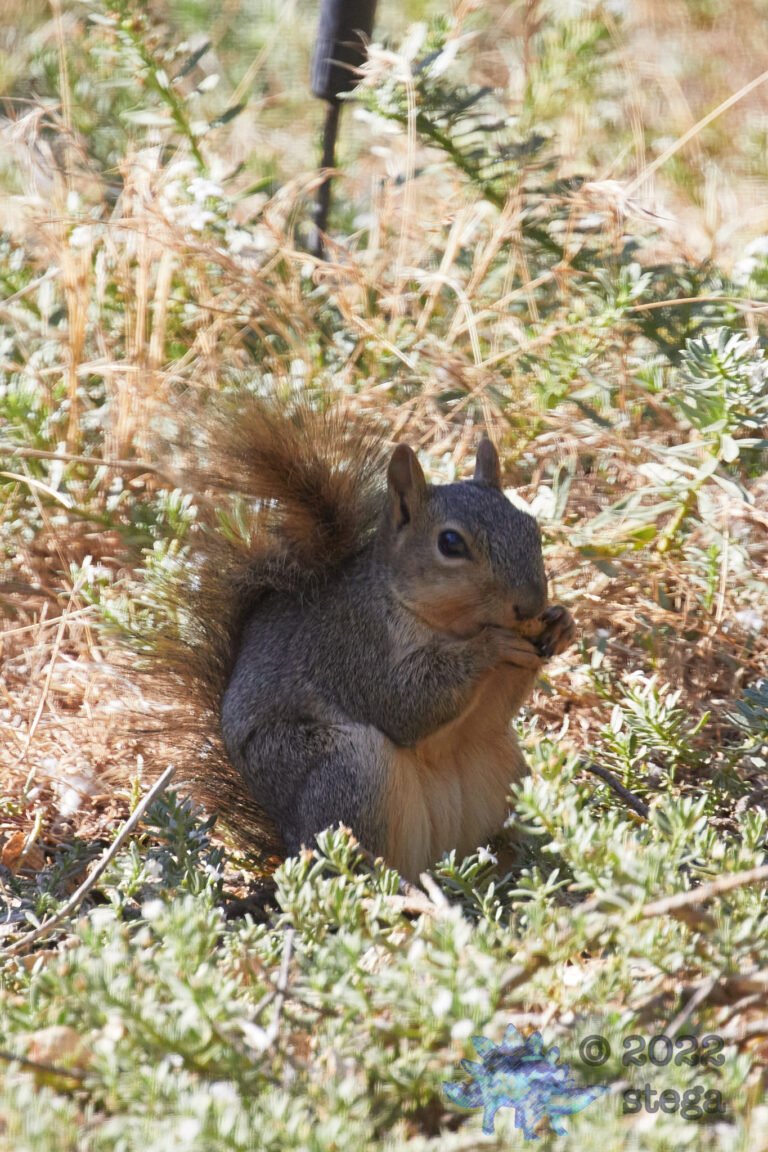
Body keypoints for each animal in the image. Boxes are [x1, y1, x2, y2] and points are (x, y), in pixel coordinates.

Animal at [153, 395, 575, 882]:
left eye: (531, 526)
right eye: (450, 543)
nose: (529, 604)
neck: (446, 623)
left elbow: (495, 710)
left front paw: (562, 624)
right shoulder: (353, 647)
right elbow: (402, 703)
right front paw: (490, 647)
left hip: (505, 773)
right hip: (347, 769)